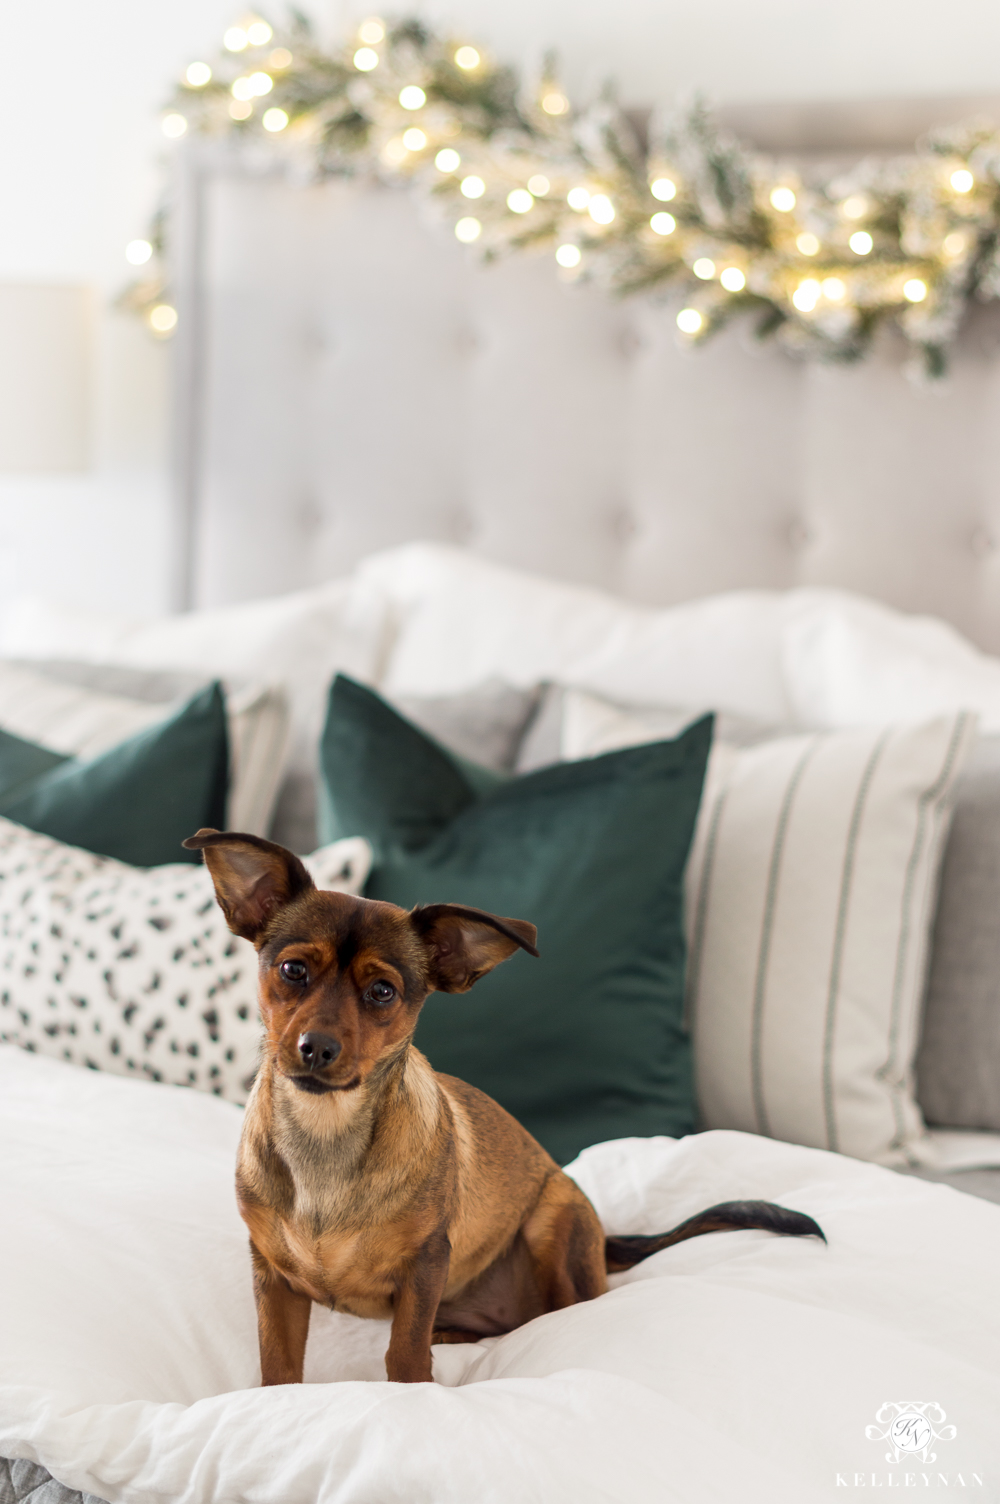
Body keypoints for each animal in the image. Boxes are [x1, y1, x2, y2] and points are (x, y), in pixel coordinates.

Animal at [183, 830, 824, 1377]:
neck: (326, 1134)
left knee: (560, 1312)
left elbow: (404, 1353)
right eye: (292, 969)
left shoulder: (426, 1264)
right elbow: (280, 1365)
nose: (315, 1047)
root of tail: (603, 1237)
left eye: (382, 992)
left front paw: (414, 1391)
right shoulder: (274, 1277)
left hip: (550, 1223)